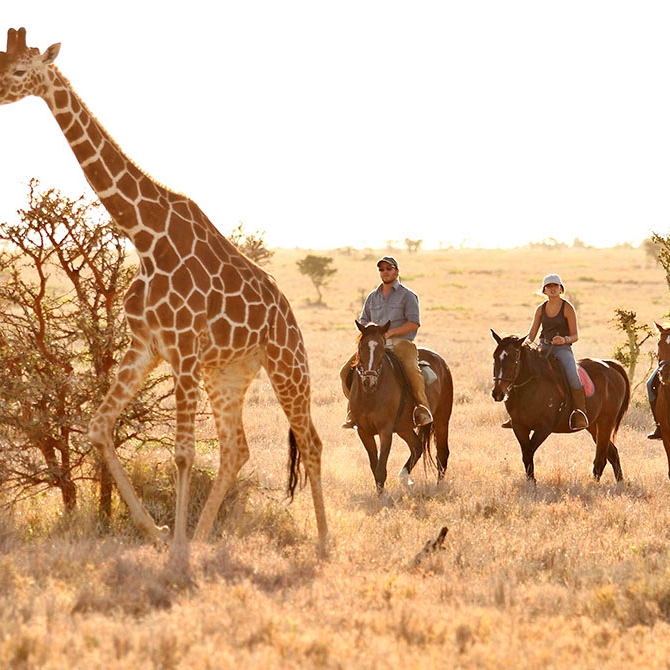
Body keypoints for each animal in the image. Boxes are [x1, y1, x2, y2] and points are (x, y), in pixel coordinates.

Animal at [0, 28, 330, 556]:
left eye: (19, 70)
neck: (144, 234)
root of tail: (288, 313)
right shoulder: (148, 346)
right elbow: (99, 426)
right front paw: (159, 534)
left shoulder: (182, 348)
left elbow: (181, 453)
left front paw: (173, 549)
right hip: (228, 374)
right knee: (236, 449)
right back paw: (201, 535)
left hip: (286, 363)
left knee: (310, 440)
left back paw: (320, 543)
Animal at [350, 322, 454, 490]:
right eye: (360, 347)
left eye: (381, 348)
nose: (369, 382)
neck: (370, 395)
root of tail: (442, 363)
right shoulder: (363, 431)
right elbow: (374, 467)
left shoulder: (385, 431)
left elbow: (381, 469)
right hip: (403, 427)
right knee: (417, 447)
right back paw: (404, 477)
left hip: (442, 420)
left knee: (442, 453)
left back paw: (438, 487)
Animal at [494, 330, 632, 484]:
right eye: (495, 357)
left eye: (514, 360)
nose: (497, 393)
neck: (530, 387)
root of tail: (610, 366)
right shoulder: (519, 427)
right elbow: (526, 455)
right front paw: (531, 482)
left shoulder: (544, 427)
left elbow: (529, 452)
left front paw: (533, 483)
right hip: (592, 425)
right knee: (612, 453)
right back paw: (620, 483)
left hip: (605, 422)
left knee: (601, 458)